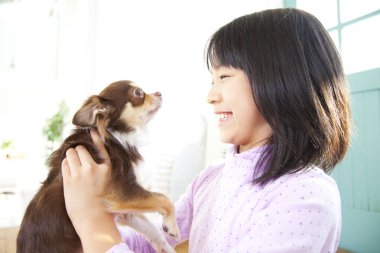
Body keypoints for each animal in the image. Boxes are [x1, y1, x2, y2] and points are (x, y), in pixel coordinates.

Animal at [16, 80, 180, 253]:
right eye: (138, 93)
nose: (159, 93)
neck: (115, 134)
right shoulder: (124, 193)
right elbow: (164, 198)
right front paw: (172, 225)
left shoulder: (125, 211)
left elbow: (154, 231)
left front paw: (167, 247)